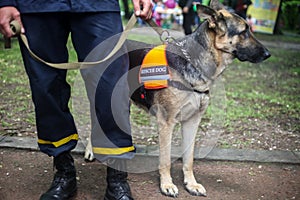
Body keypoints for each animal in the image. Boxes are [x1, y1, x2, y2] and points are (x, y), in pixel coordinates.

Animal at [85, 0, 272, 197]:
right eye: (243, 32)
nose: (268, 54)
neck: (195, 62)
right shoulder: (166, 123)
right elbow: (166, 159)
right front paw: (166, 184)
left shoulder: (192, 122)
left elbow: (188, 159)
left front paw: (191, 184)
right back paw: (91, 151)